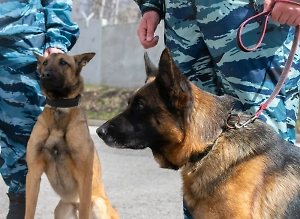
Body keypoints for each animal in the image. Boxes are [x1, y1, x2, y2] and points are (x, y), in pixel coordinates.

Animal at [24, 52, 119, 219]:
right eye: (45, 63)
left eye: (64, 63)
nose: (45, 74)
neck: (59, 107)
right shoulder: (33, 174)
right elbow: (29, 211)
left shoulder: (85, 176)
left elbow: (84, 213)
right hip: (62, 210)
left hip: (98, 205)